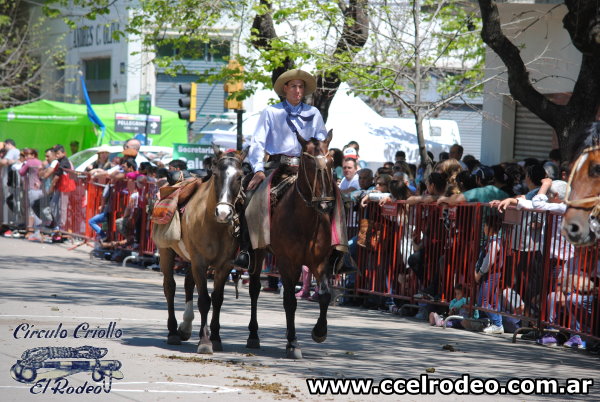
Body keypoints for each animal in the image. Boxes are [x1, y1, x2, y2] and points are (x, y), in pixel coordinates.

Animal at [156, 147, 250, 352]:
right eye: (215, 175)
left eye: (240, 176)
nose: (223, 213)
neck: (214, 225)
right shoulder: (199, 262)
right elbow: (204, 300)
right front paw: (205, 342)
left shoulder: (223, 266)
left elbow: (217, 299)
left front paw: (215, 338)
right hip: (166, 251)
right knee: (170, 287)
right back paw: (173, 332)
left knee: (188, 284)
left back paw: (185, 327)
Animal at [245, 130, 338, 360]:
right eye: (308, 162)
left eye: (331, 161)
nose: (325, 204)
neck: (306, 221)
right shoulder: (288, 263)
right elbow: (289, 301)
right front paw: (292, 343)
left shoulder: (319, 262)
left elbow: (325, 295)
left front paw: (319, 332)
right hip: (258, 252)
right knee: (254, 288)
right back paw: (253, 335)